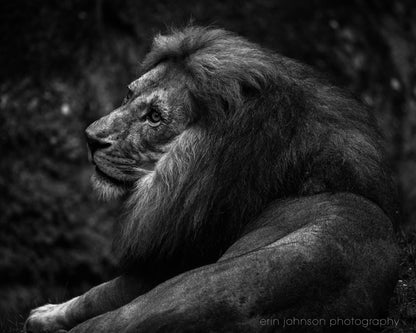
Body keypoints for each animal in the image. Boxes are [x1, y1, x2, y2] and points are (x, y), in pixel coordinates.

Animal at [25, 26, 400, 332]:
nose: (90, 138)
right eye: (129, 94)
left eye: (155, 117)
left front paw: (45, 312)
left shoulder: (165, 265)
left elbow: (94, 293)